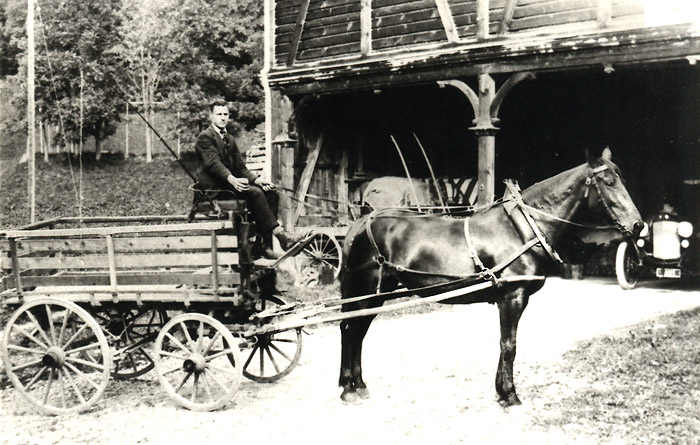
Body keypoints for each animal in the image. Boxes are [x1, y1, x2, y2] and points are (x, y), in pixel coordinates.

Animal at [336, 151, 644, 408]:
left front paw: (501, 391)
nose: (638, 225)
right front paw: (510, 394)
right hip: (367, 290)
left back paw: (358, 384)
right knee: (352, 330)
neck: (522, 229)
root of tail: (360, 223)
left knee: (356, 331)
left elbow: (505, 343)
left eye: (623, 179)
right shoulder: (512, 297)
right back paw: (349, 389)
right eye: (608, 182)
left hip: (376, 293)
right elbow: (509, 345)